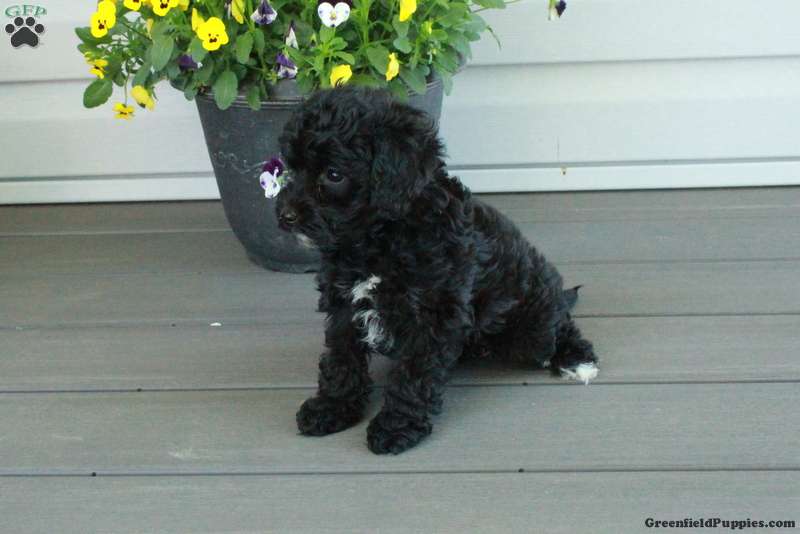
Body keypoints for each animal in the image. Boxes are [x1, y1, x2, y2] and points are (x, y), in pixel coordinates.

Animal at [275, 86, 598, 454]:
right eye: (291, 167)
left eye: (333, 174)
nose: (285, 215)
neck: (379, 238)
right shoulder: (344, 303)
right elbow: (342, 357)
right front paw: (332, 407)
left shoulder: (431, 315)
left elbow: (412, 377)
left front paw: (396, 426)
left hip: (533, 327)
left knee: (560, 325)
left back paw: (577, 359)